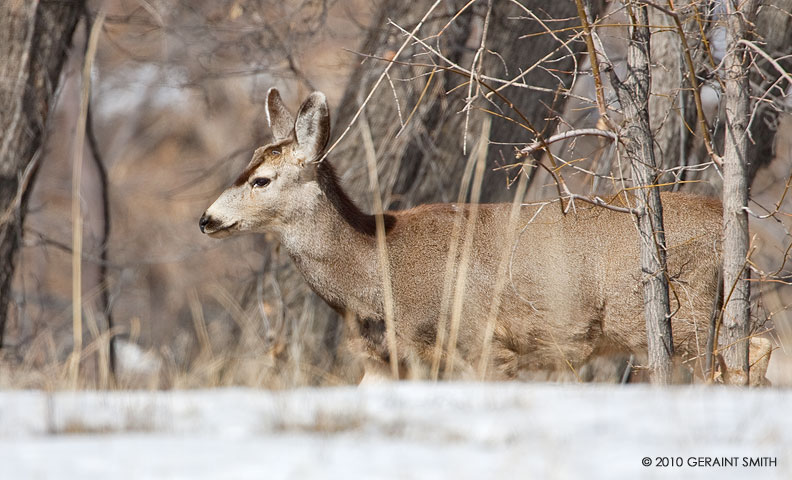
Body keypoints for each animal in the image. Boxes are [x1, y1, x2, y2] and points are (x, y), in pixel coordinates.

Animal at [201, 88, 772, 384]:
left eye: (260, 179)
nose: (206, 219)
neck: (376, 270)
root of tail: (734, 229)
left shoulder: (482, 344)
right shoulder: (390, 362)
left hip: (685, 311)